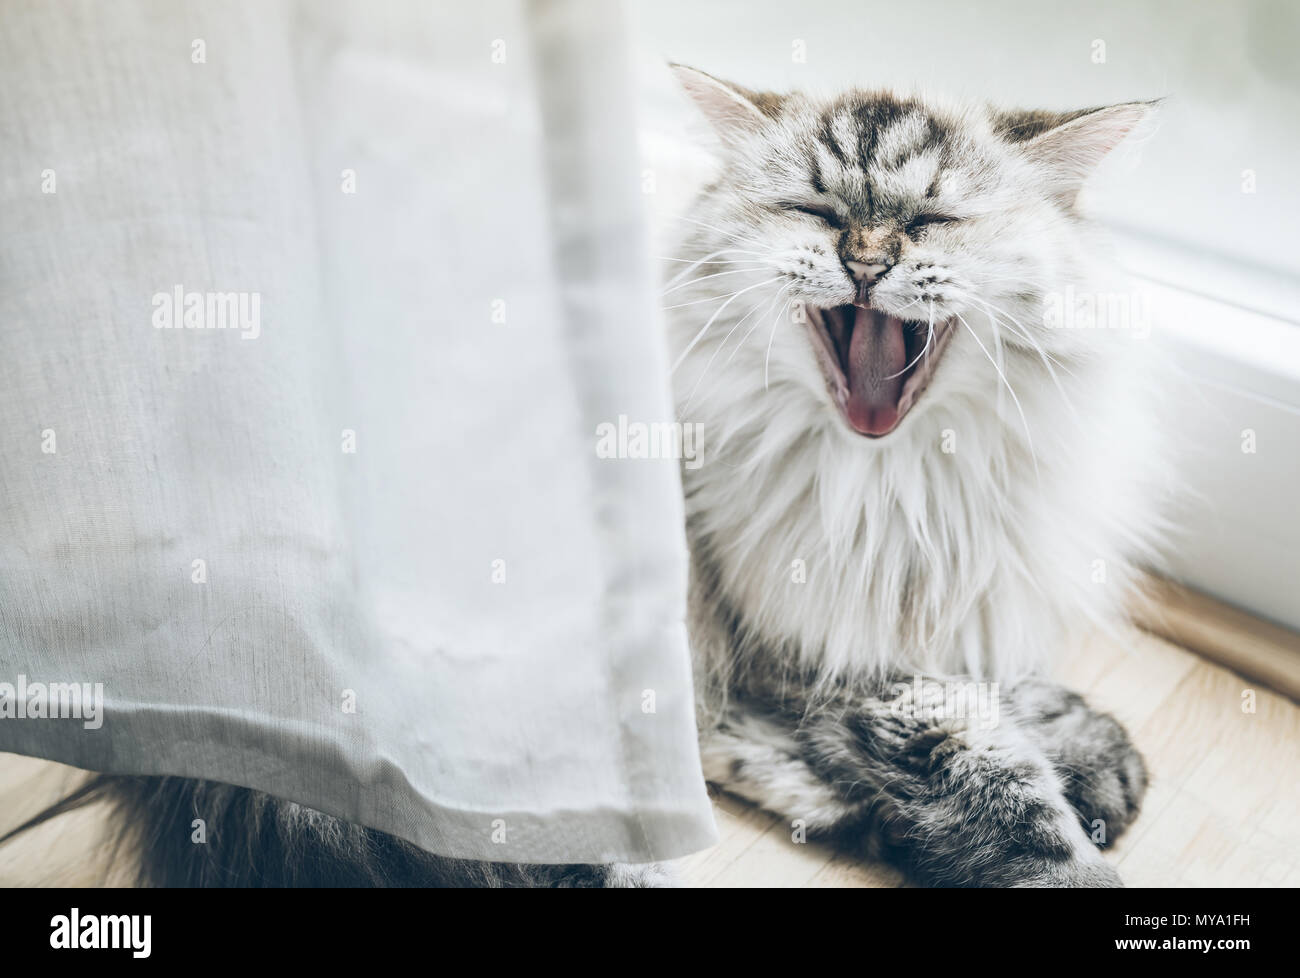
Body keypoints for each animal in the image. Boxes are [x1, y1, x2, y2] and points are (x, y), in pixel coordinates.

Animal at [670, 63, 1170, 884]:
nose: (866, 265)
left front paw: (1092, 752)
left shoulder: (967, 584)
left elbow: (1007, 672)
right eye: (815, 211)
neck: (901, 491)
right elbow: (1007, 792)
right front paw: (1072, 835)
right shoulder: (841, 657)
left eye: (934, 220)